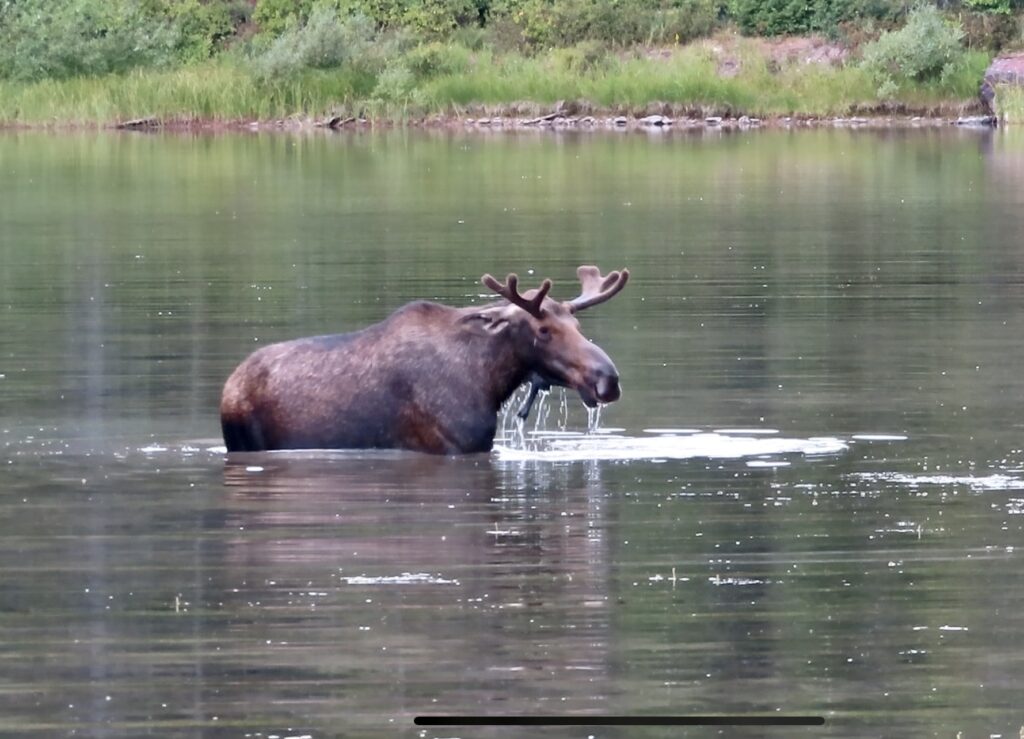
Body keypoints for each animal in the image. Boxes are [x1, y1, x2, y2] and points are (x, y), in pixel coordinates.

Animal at [220, 262, 626, 452]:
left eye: (576, 323)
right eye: (543, 330)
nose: (607, 377)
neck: (491, 381)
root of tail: (229, 385)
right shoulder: (456, 446)